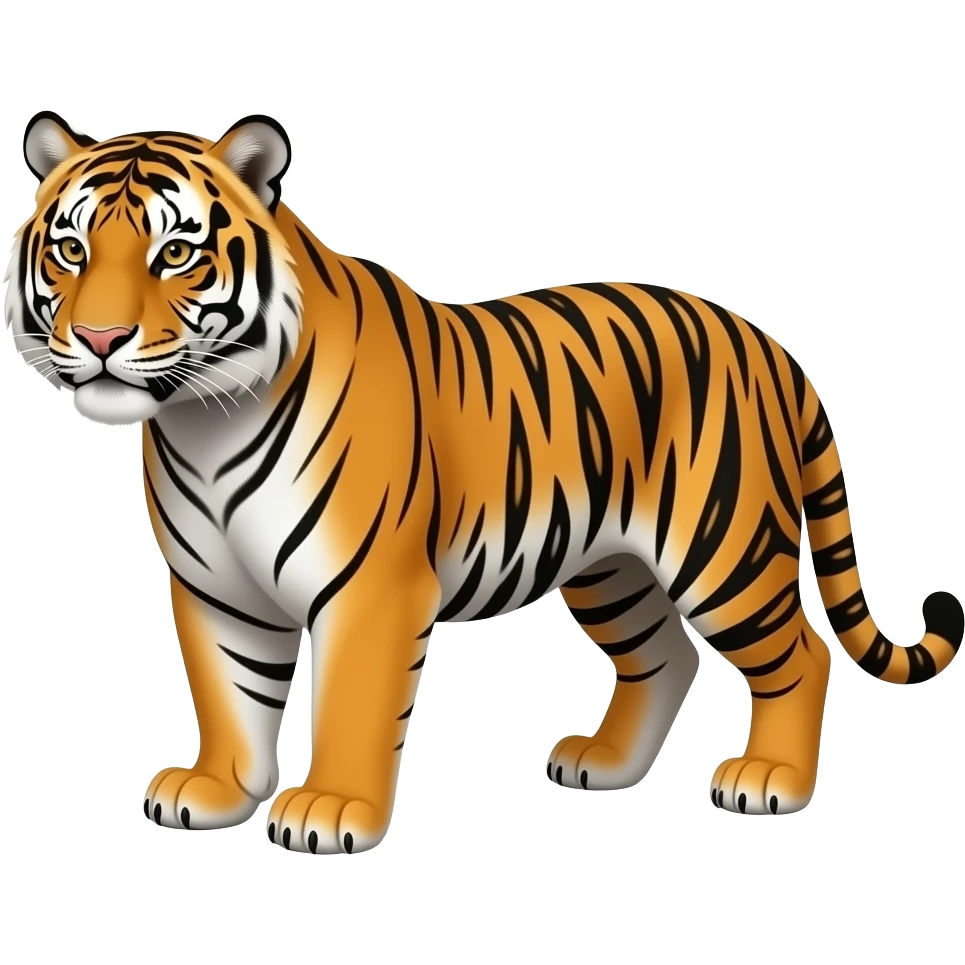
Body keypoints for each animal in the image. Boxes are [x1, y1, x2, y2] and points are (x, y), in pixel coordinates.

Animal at [4, 110, 962, 853]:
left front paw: (329, 808)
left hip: (721, 550)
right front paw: (216, 791)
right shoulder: (214, 586)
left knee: (798, 650)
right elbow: (226, 691)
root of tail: (770, 345)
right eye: (70, 248)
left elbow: (350, 700)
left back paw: (770, 780)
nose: (97, 338)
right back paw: (604, 763)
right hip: (611, 567)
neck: (204, 419)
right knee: (665, 654)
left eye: (174, 252)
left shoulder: (370, 585)